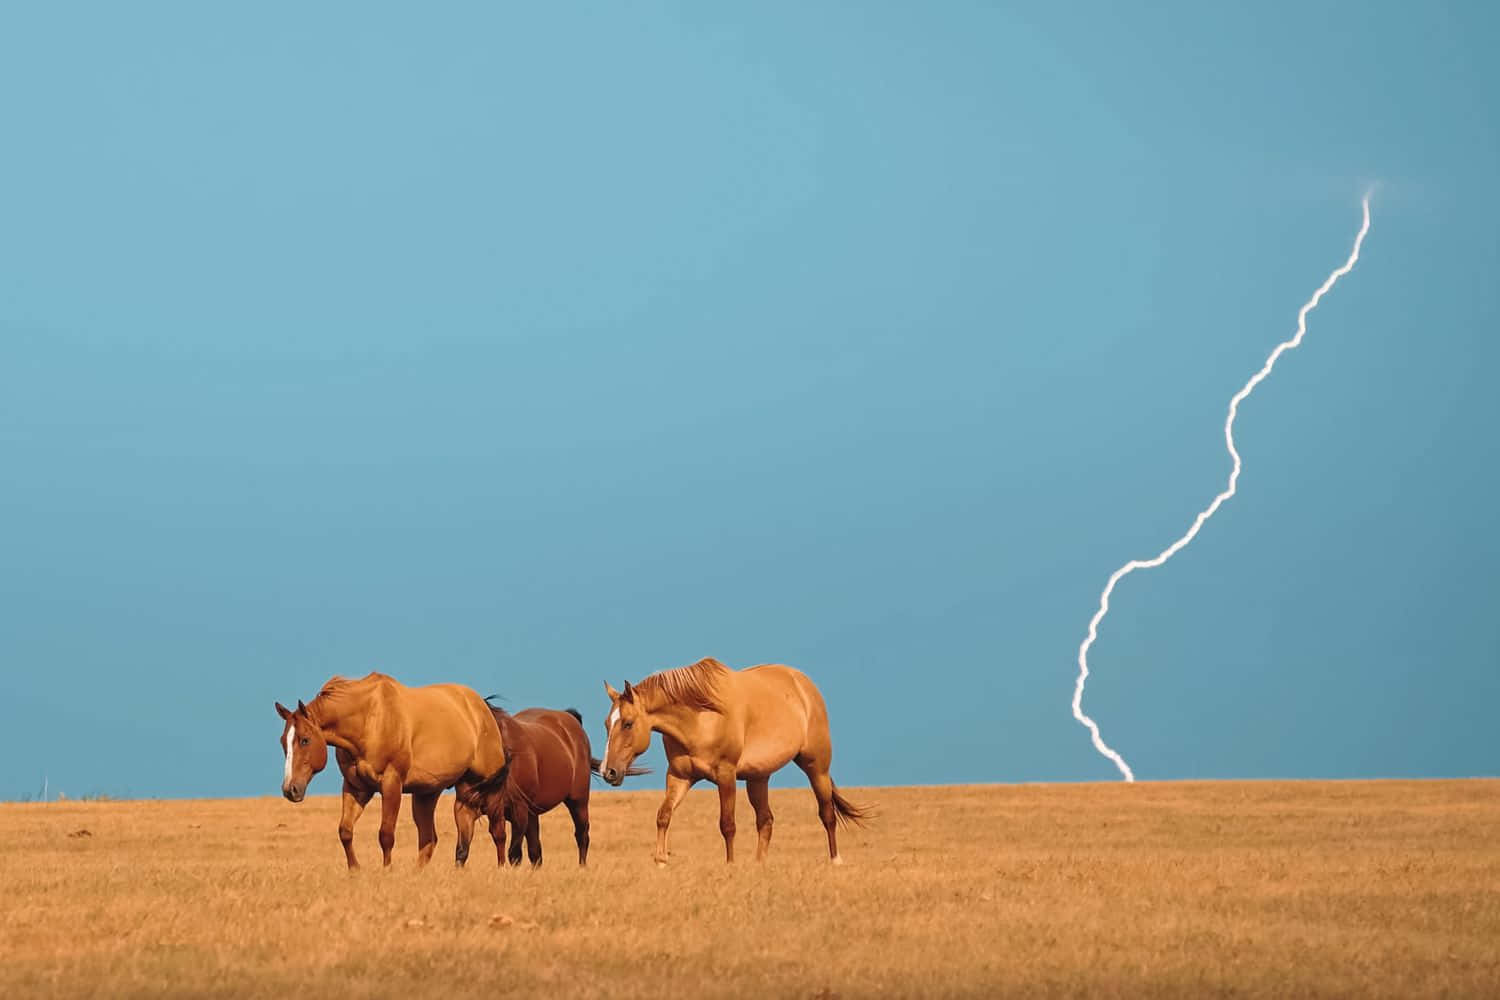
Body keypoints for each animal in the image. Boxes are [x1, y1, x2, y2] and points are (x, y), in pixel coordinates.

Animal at [274, 671, 510, 870]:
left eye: (305, 740)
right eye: (283, 741)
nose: (290, 789)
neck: (370, 719)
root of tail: (481, 708)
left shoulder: (391, 784)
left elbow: (386, 834)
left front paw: (387, 870)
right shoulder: (355, 788)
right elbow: (345, 831)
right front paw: (354, 869)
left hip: (489, 792)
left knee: (497, 832)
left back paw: (501, 869)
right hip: (435, 793)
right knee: (436, 838)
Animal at [600, 657, 871, 865]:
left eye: (628, 723)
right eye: (606, 724)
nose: (608, 772)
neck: (700, 718)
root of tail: (804, 686)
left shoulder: (726, 775)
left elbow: (727, 824)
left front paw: (730, 864)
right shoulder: (679, 776)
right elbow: (663, 815)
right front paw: (661, 861)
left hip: (816, 768)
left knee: (827, 813)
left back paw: (835, 860)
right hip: (758, 778)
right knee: (765, 821)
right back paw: (760, 864)